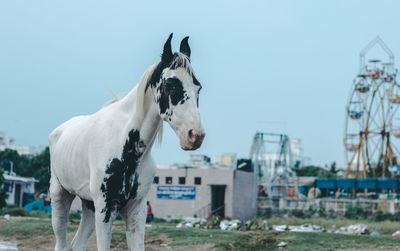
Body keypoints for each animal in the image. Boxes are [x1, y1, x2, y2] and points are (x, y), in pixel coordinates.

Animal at [49, 33, 205, 251]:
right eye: (170, 84)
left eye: (198, 88)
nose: (195, 136)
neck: (126, 147)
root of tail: (59, 131)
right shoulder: (105, 209)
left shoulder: (136, 211)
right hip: (60, 197)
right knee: (62, 243)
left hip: (89, 205)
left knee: (77, 244)